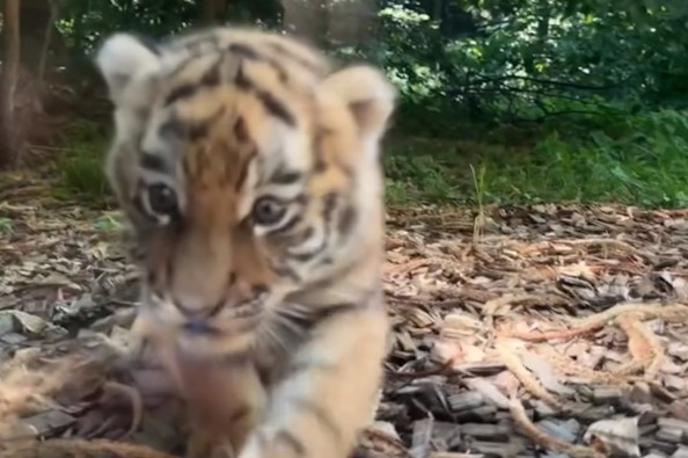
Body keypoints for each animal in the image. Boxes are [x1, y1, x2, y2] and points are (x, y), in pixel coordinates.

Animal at [94, 25, 395, 458]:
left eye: (268, 211)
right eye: (162, 198)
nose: (193, 308)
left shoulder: (351, 303)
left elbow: (323, 402)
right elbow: (218, 382)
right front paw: (221, 439)